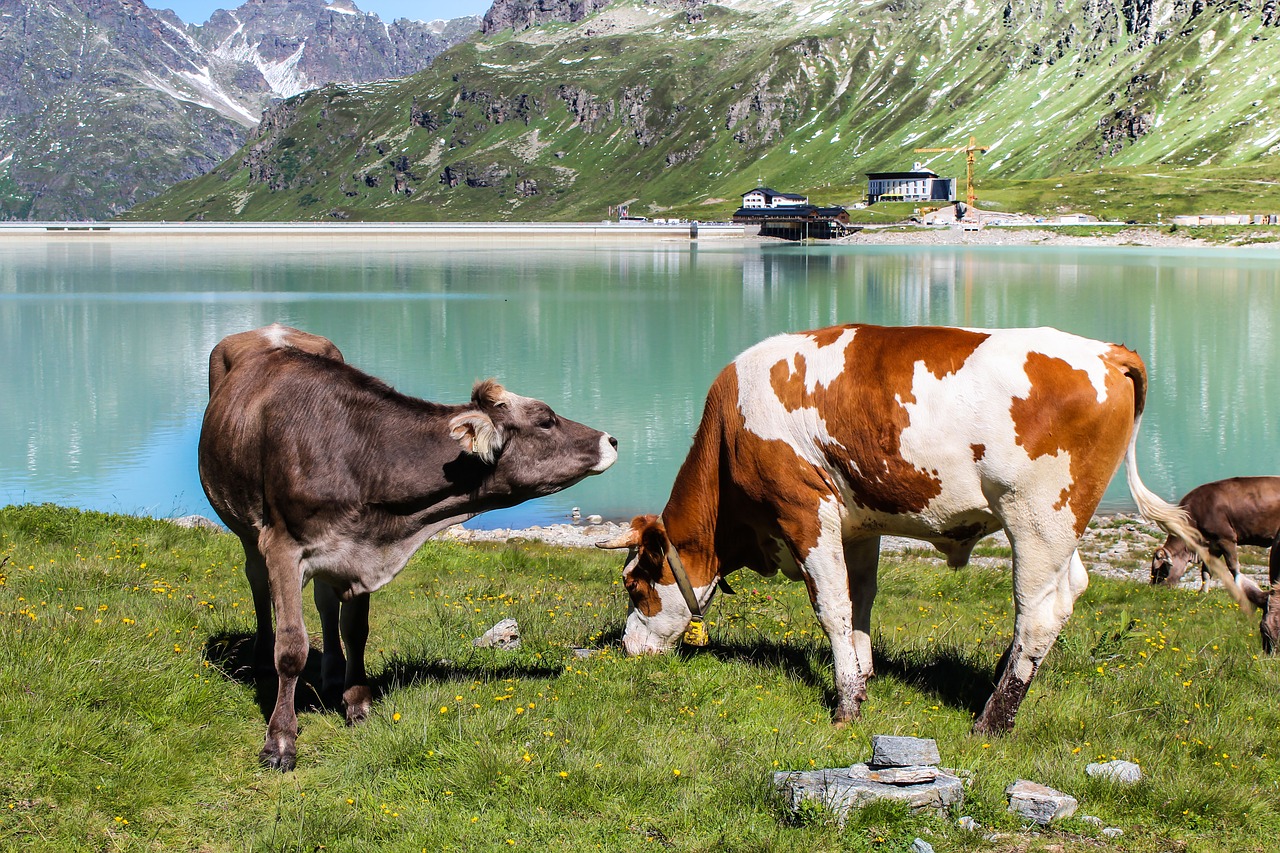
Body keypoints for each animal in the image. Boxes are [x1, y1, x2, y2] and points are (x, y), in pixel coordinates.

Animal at [199, 322, 619, 768]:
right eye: (546, 420)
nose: (611, 439)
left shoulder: (358, 549)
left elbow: (356, 630)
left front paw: (357, 703)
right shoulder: (283, 545)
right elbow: (292, 647)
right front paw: (280, 741)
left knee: (325, 604)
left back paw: (331, 673)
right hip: (247, 529)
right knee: (257, 584)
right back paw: (262, 656)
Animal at [604, 322, 1244, 732]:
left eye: (635, 586)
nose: (628, 649)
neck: (730, 432)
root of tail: (1105, 351)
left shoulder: (805, 511)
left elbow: (831, 607)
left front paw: (845, 709)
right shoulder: (858, 524)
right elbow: (860, 602)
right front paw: (863, 679)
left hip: (1037, 519)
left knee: (1037, 613)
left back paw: (993, 721)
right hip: (1063, 523)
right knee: (1069, 593)